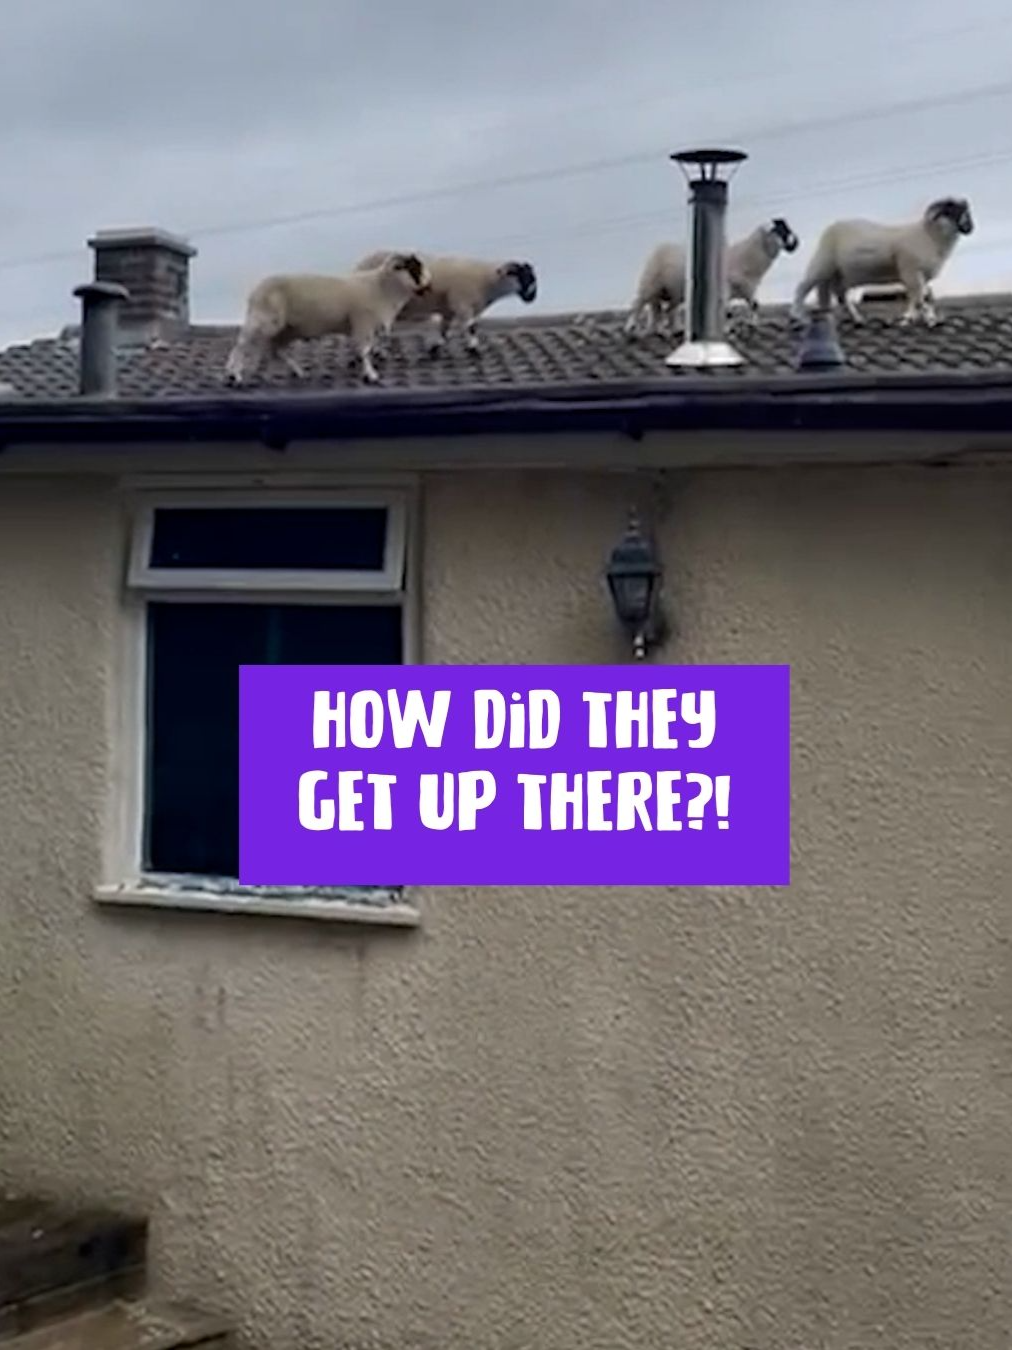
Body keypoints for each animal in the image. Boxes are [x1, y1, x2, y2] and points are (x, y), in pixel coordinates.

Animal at [225, 251, 431, 388]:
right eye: (414, 268)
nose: (428, 286)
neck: (382, 288)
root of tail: (254, 292)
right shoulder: (363, 323)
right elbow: (364, 350)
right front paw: (371, 375)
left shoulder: (363, 326)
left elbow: (364, 350)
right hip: (265, 320)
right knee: (242, 343)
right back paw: (234, 374)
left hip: (287, 329)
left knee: (277, 350)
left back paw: (298, 372)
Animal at [353, 248, 539, 353]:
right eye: (522, 276)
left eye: (532, 278)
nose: (531, 298)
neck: (487, 280)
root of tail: (358, 266)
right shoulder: (462, 304)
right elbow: (470, 327)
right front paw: (473, 347)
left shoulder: (449, 309)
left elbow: (445, 329)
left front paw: (437, 345)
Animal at [793, 195, 976, 326]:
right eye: (953, 211)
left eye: (967, 212)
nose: (970, 228)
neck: (929, 236)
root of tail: (831, 228)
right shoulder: (911, 271)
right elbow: (919, 298)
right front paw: (928, 320)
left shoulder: (919, 276)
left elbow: (920, 297)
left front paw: (912, 319)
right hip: (822, 262)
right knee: (802, 287)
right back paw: (799, 317)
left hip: (839, 274)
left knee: (838, 295)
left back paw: (856, 319)